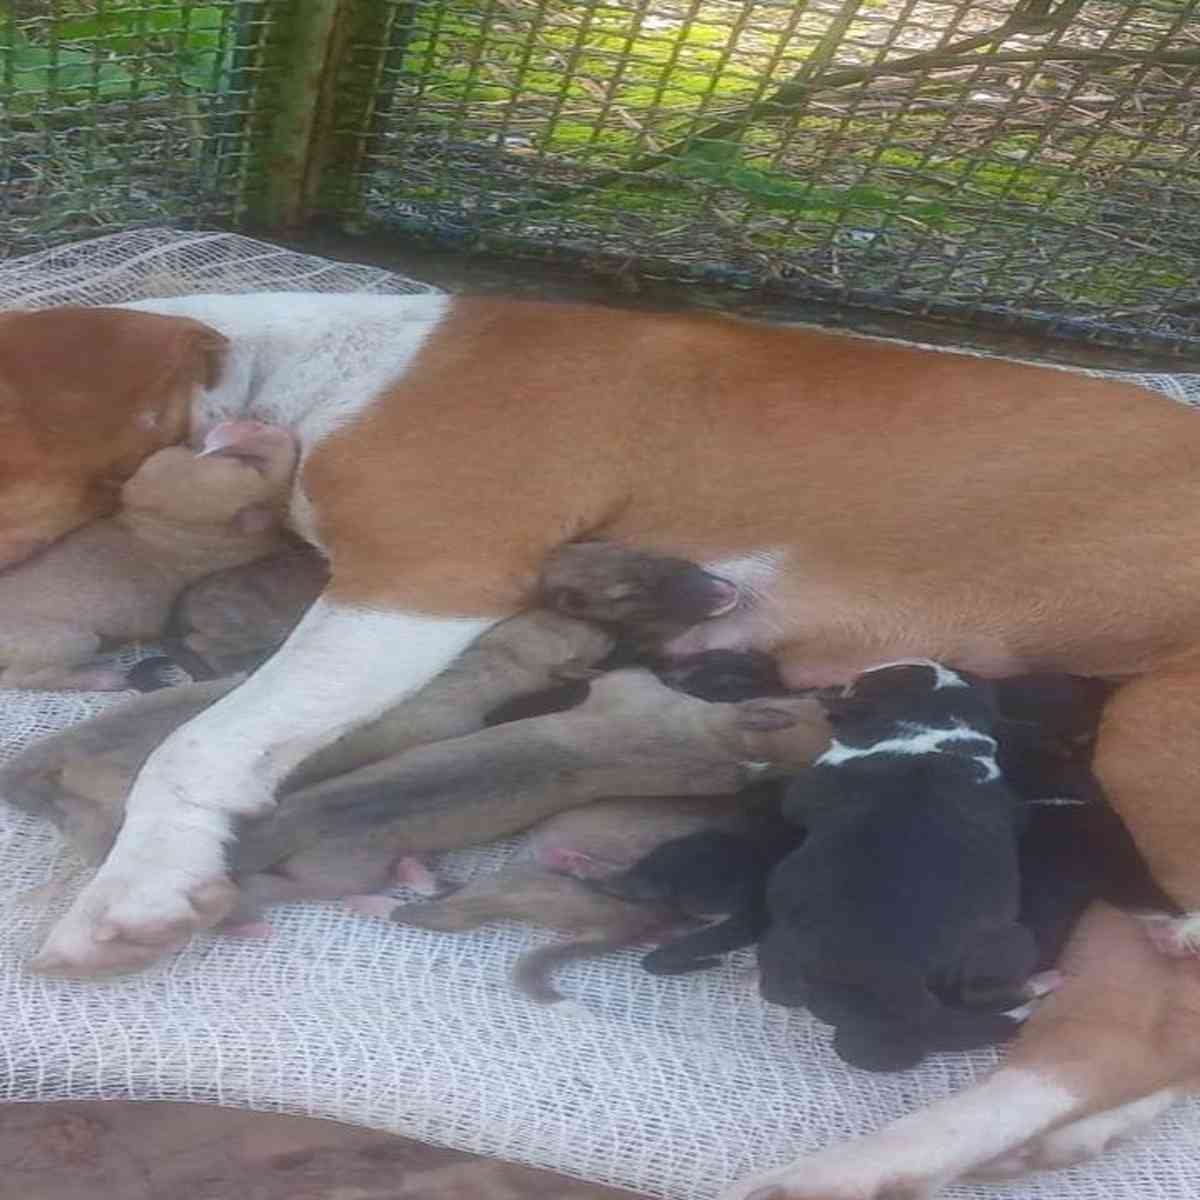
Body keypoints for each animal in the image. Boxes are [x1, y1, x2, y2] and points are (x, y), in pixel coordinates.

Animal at [0, 422, 295, 691]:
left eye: (190, 447)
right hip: (70, 639)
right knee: (20, 678)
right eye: (248, 465)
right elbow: (279, 482)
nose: (244, 426)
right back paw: (104, 678)